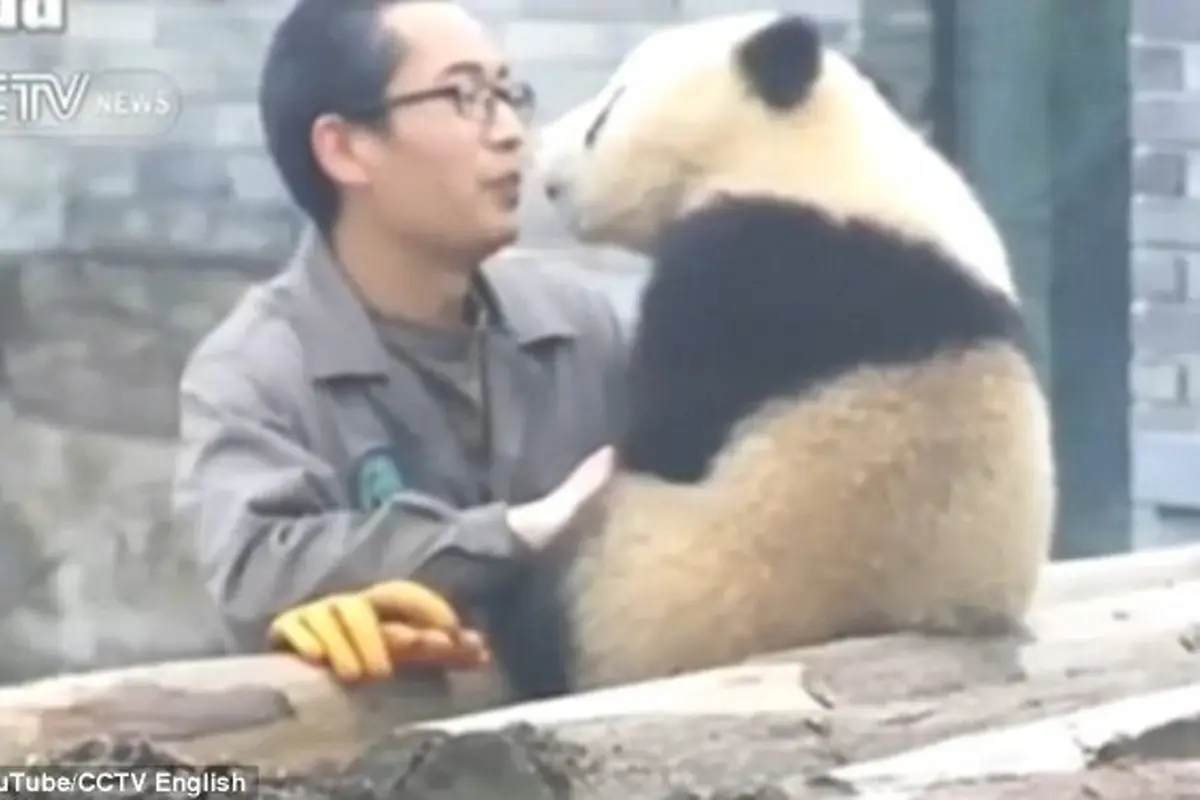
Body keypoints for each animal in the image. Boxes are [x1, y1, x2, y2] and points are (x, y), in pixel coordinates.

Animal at [486, 11, 1056, 701]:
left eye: (607, 114)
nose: (544, 165)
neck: (809, 146)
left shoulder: (758, 266)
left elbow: (669, 429)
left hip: (669, 587)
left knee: (564, 601)